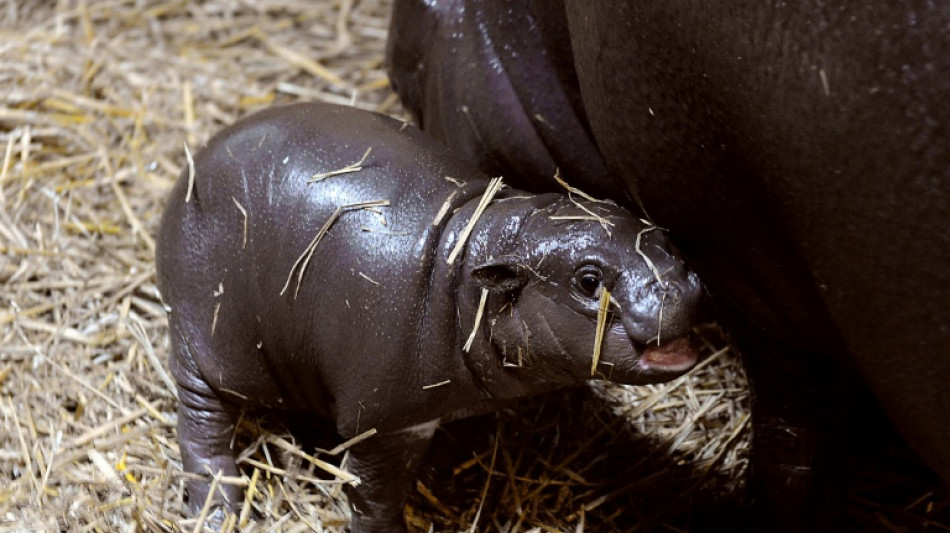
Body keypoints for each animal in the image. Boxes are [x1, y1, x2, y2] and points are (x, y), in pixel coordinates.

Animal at [158, 101, 708, 532]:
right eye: (589, 281)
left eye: (663, 237)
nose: (683, 287)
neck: (469, 260)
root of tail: (189, 169)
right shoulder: (384, 423)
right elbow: (373, 497)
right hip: (206, 344)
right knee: (201, 426)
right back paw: (218, 512)